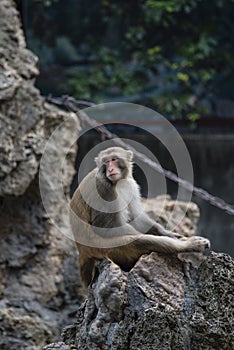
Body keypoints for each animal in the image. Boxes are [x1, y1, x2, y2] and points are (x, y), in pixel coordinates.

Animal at [70, 147, 210, 288]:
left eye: (113, 159)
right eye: (106, 162)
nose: (110, 169)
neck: (118, 182)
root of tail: (83, 252)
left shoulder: (130, 184)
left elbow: (137, 218)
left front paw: (166, 232)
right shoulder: (103, 188)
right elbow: (104, 229)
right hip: (105, 250)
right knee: (139, 241)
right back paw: (189, 245)